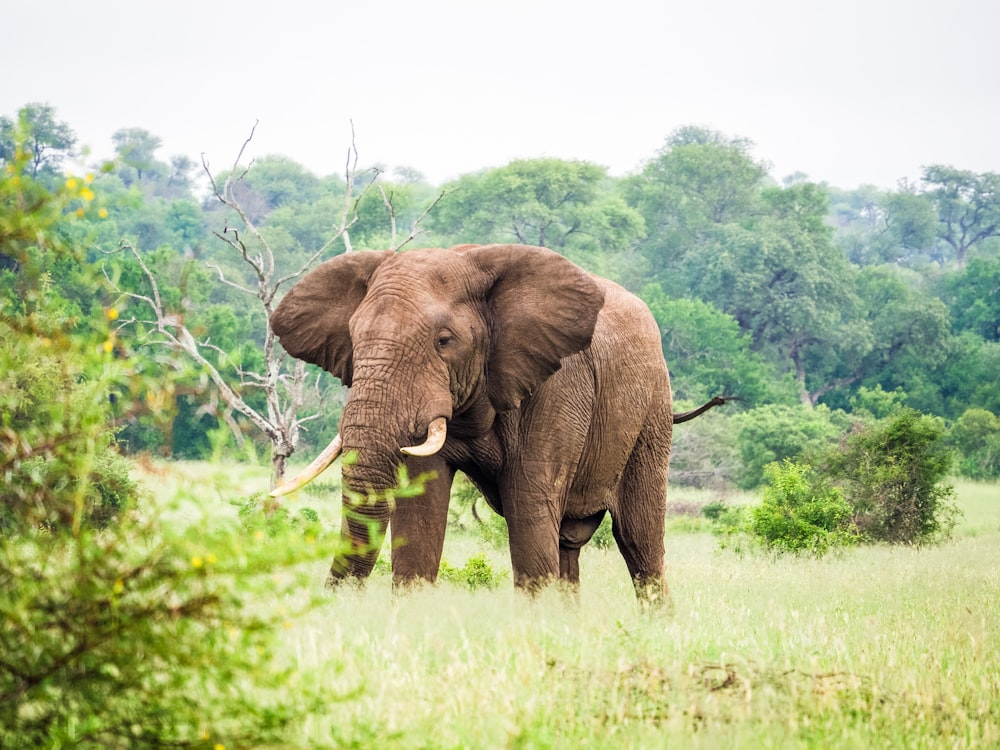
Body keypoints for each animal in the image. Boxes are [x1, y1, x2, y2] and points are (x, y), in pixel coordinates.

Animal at [270, 244, 724, 608]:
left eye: (444, 341)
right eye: (354, 339)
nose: (337, 605)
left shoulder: (557, 385)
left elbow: (528, 503)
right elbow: (421, 508)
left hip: (652, 413)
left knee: (638, 539)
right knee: (568, 542)